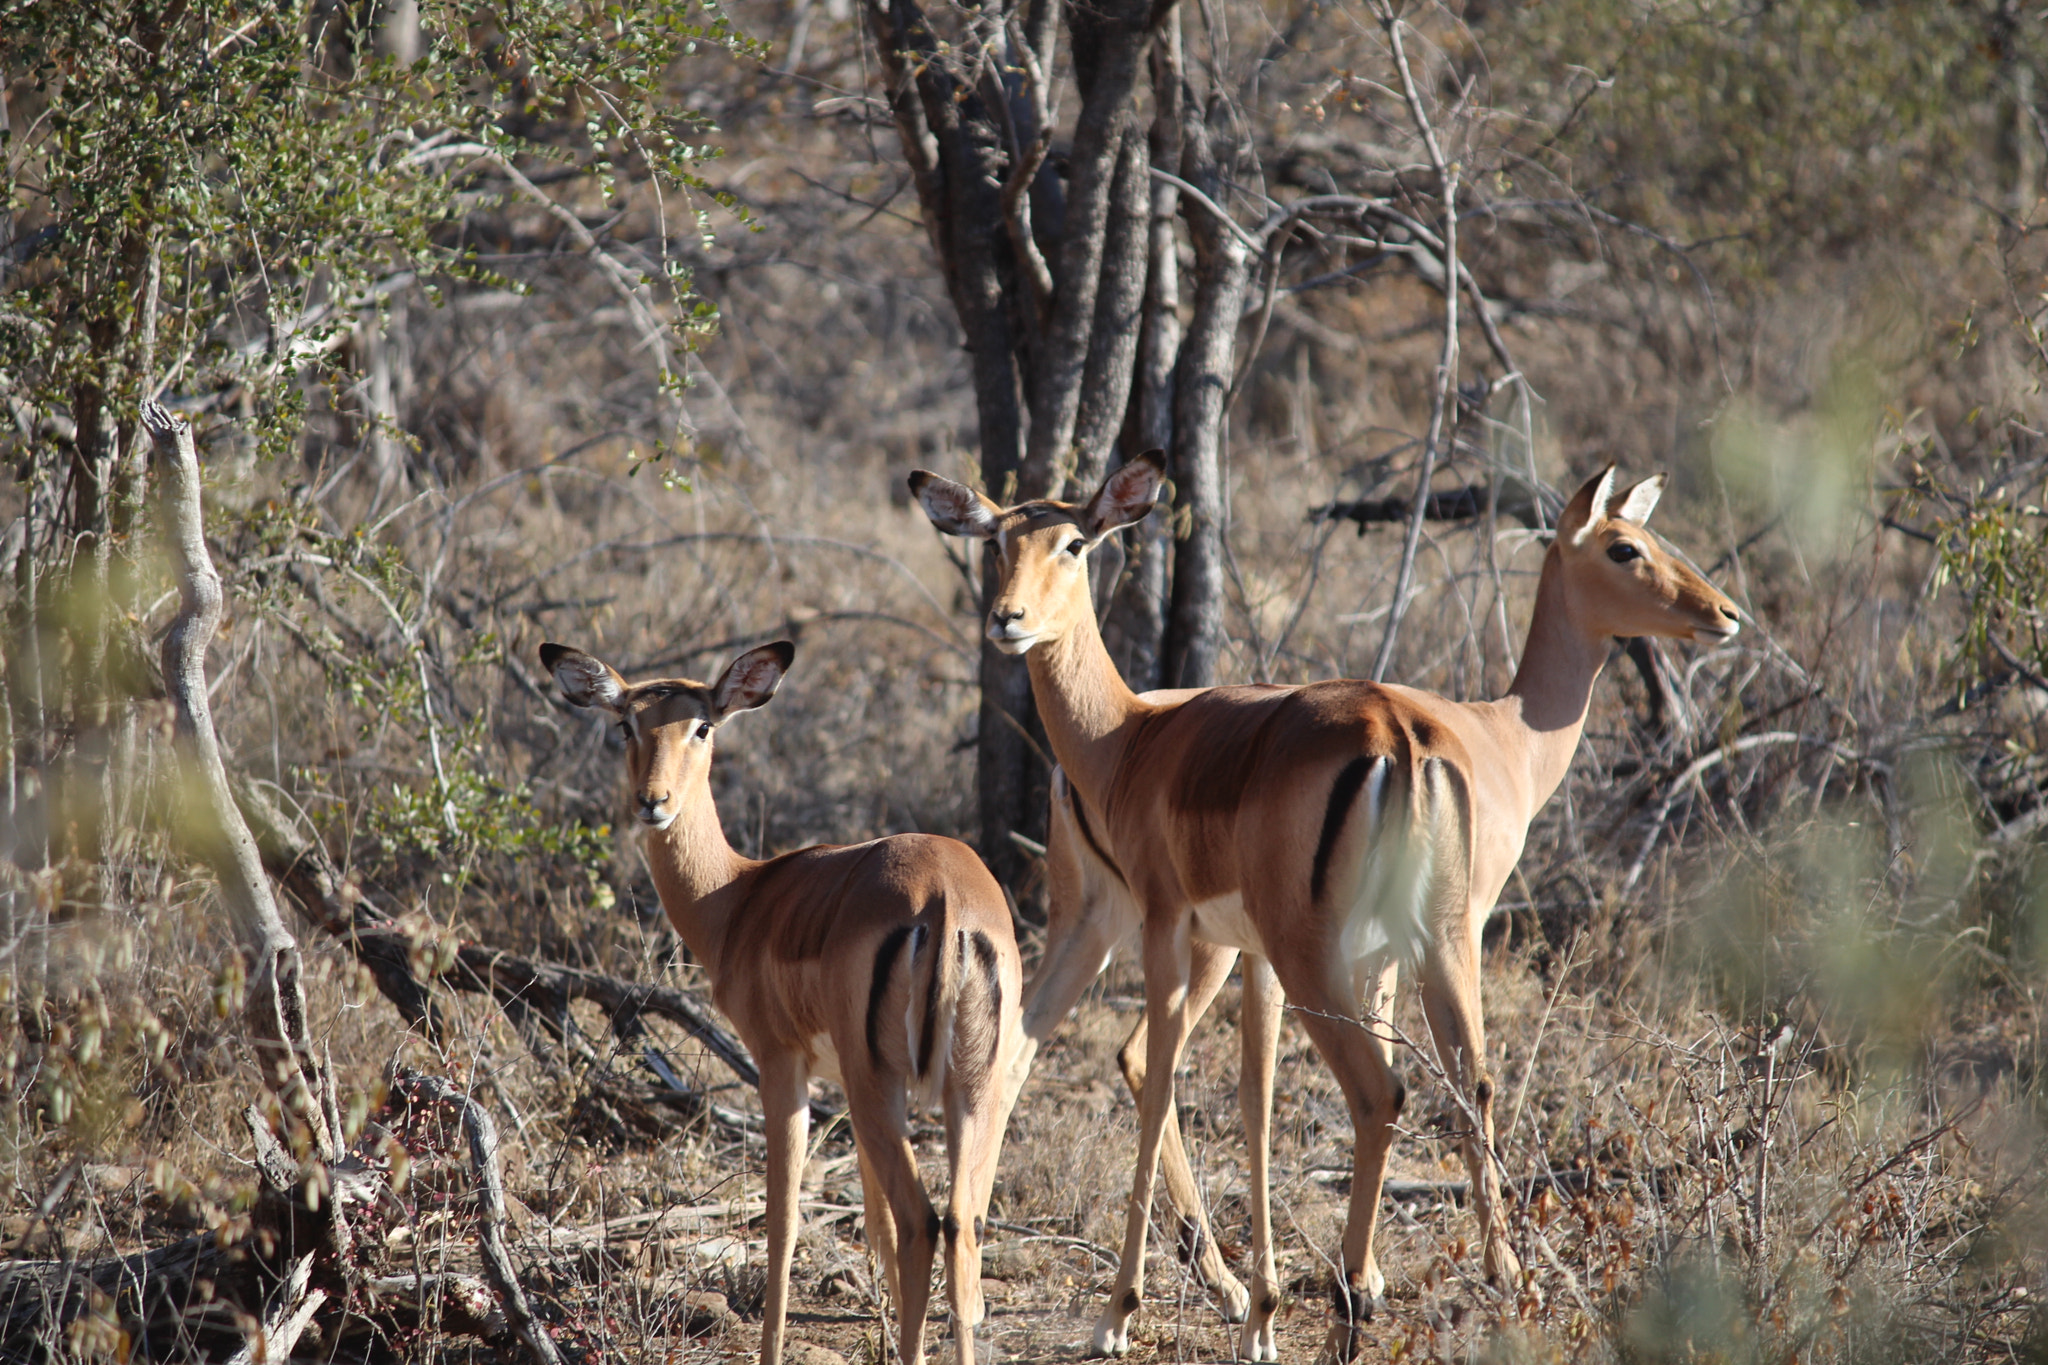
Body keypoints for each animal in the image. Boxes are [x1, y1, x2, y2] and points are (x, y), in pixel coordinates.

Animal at [542, 640, 1023, 1365]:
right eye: (626, 724)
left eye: (702, 725)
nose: (653, 801)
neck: (741, 898)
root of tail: (944, 898)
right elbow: (873, 1222)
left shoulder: (780, 1064)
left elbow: (784, 1220)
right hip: (968, 1086)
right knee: (960, 1222)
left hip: (878, 1081)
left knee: (921, 1221)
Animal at [913, 457, 1740, 1359]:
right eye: (997, 542)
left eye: (1073, 542)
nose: (1008, 620)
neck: (1127, 741)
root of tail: (1401, 735)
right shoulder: (1264, 942)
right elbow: (1230, 1090)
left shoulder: (1202, 934)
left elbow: (1220, 1092)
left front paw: (1161, 1310)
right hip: (1342, 941)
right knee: (1394, 1086)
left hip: (1245, 944)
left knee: (1361, 1088)